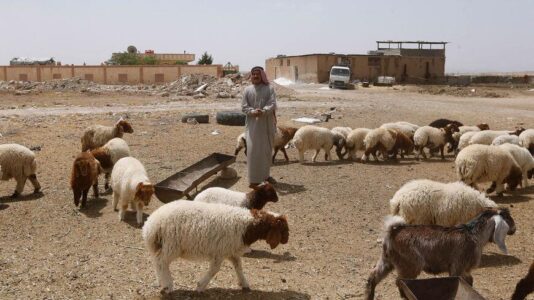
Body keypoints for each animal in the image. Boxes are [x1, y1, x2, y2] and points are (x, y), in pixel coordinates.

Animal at [140, 199, 286, 292]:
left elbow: (238, 267)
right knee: (161, 263)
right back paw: (168, 286)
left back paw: (162, 282)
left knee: (158, 263)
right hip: (171, 246)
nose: (286, 240)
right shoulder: (219, 252)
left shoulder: (231, 252)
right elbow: (214, 270)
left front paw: (244, 284)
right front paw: (200, 286)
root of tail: (150, 226)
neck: (247, 227)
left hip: (164, 246)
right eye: (282, 227)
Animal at [366, 209, 516, 300]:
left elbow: (469, 281)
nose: (515, 229)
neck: (474, 235)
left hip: (387, 261)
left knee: (373, 277)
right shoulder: (457, 267)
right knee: (400, 282)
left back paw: (369, 296)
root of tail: (392, 232)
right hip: (410, 265)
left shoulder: (464, 269)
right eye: (508, 218)